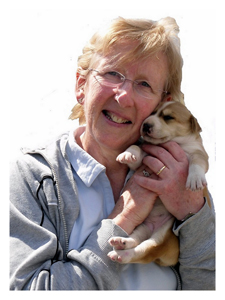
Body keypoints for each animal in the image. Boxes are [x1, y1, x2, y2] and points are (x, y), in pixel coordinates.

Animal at [107, 101, 209, 268]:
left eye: (168, 117)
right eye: (152, 113)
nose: (146, 125)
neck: (174, 142)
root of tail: (152, 227)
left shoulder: (200, 154)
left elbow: (197, 162)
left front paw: (195, 179)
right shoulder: (144, 158)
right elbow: (137, 148)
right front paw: (127, 154)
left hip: (161, 238)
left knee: (142, 251)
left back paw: (121, 253)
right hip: (142, 227)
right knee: (135, 240)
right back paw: (121, 242)